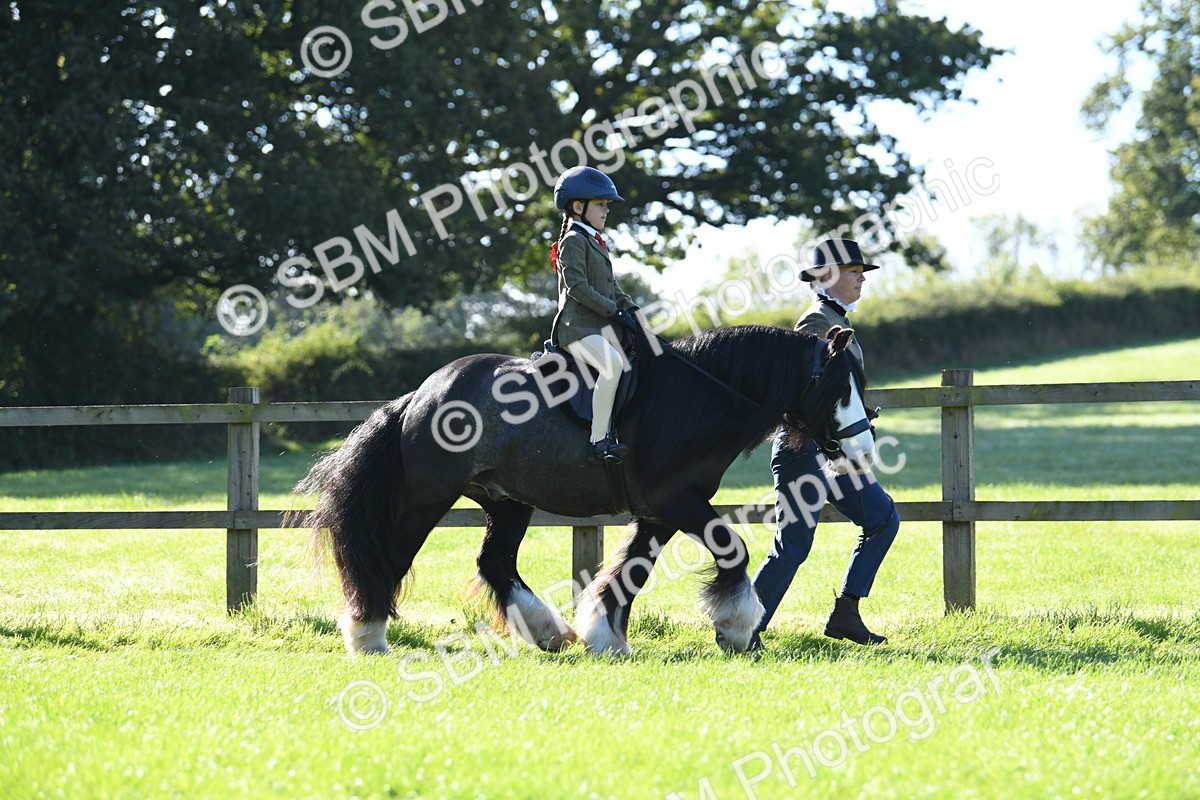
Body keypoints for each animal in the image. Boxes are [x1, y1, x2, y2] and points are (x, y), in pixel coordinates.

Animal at [291, 322, 876, 656]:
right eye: (838, 385)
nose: (865, 450)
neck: (700, 397)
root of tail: (420, 395)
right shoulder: (676, 502)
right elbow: (733, 551)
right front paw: (734, 628)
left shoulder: (660, 514)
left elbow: (629, 574)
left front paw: (604, 636)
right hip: (426, 499)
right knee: (389, 560)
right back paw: (368, 638)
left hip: (507, 502)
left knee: (495, 563)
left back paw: (548, 633)